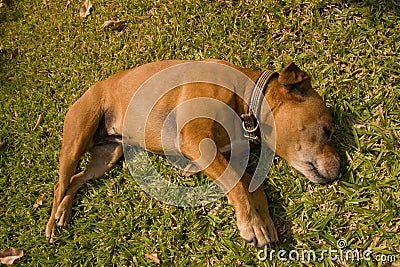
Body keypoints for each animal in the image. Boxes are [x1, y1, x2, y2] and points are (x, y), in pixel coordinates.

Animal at [46, 59, 340, 248]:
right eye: (327, 130)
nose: (340, 168)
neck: (245, 99)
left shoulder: (224, 157)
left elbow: (250, 187)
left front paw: (263, 220)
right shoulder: (198, 142)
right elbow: (238, 186)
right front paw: (252, 224)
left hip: (107, 157)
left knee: (77, 179)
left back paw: (63, 212)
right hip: (75, 141)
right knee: (60, 183)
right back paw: (51, 223)